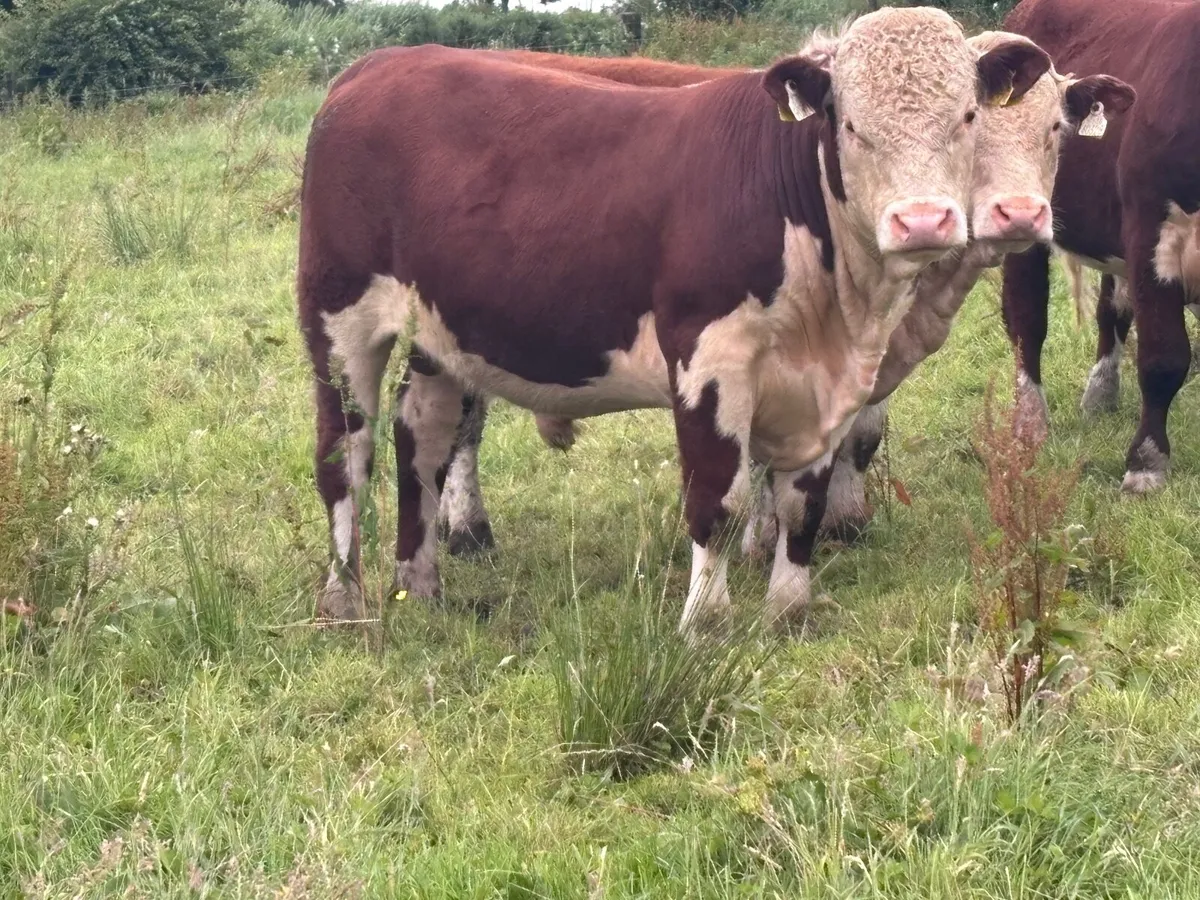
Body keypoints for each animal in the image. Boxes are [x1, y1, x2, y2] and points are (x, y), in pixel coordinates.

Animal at [297, 8, 1052, 634]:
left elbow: (802, 501)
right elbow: (716, 497)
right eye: (850, 126)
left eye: (967, 116)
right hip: (339, 319)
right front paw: (707, 621)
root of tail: (377, 64)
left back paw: (421, 584)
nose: (923, 221)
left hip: (445, 328)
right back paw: (345, 599)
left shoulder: (824, 386)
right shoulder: (707, 358)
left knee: (421, 434)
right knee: (344, 454)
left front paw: (789, 608)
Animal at [1000, 0, 1200, 493]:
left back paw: (1101, 394)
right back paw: (1029, 424)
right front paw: (1146, 462)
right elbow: (1164, 356)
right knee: (1026, 319)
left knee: (1111, 311)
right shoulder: (1151, 230)